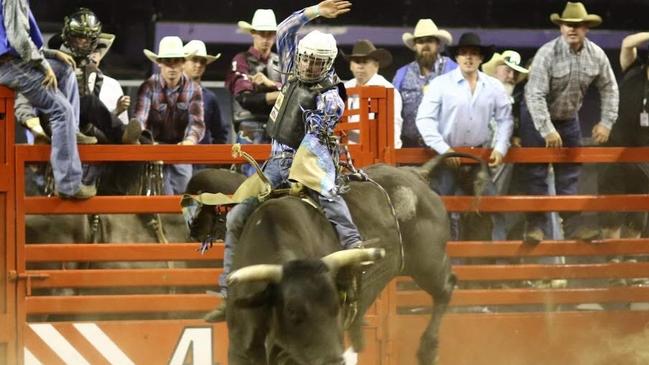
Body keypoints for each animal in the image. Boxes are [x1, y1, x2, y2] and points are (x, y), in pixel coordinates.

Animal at [184, 152, 486, 364]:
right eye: (293, 312)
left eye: (335, 307)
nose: (193, 231)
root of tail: (416, 174)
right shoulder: (242, 348)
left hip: (428, 260)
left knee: (446, 287)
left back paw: (427, 350)